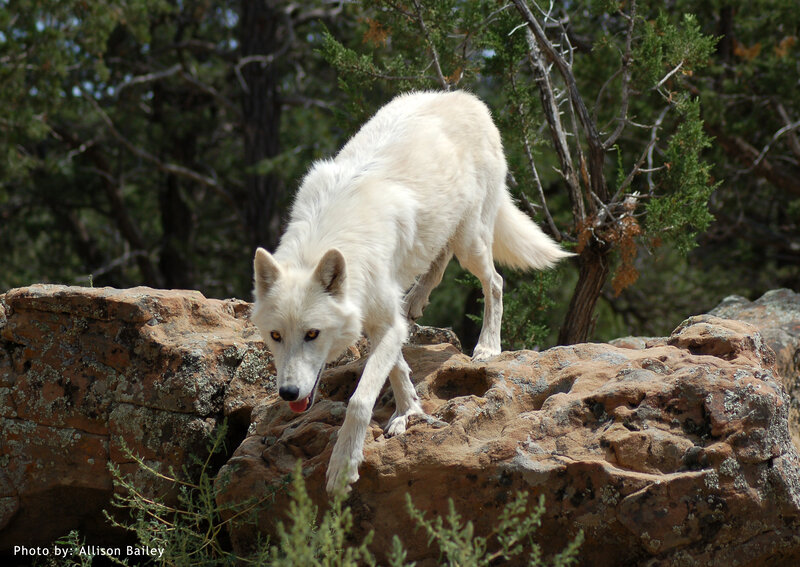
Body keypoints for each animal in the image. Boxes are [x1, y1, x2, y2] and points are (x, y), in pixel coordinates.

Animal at [251, 91, 571, 494]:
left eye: (312, 334)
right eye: (275, 336)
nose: (289, 393)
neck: (329, 236)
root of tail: (468, 97)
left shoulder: (386, 324)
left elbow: (360, 399)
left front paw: (343, 467)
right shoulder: (382, 323)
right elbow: (397, 369)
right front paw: (409, 411)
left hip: (472, 243)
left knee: (495, 282)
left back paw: (487, 346)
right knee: (438, 261)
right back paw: (415, 301)